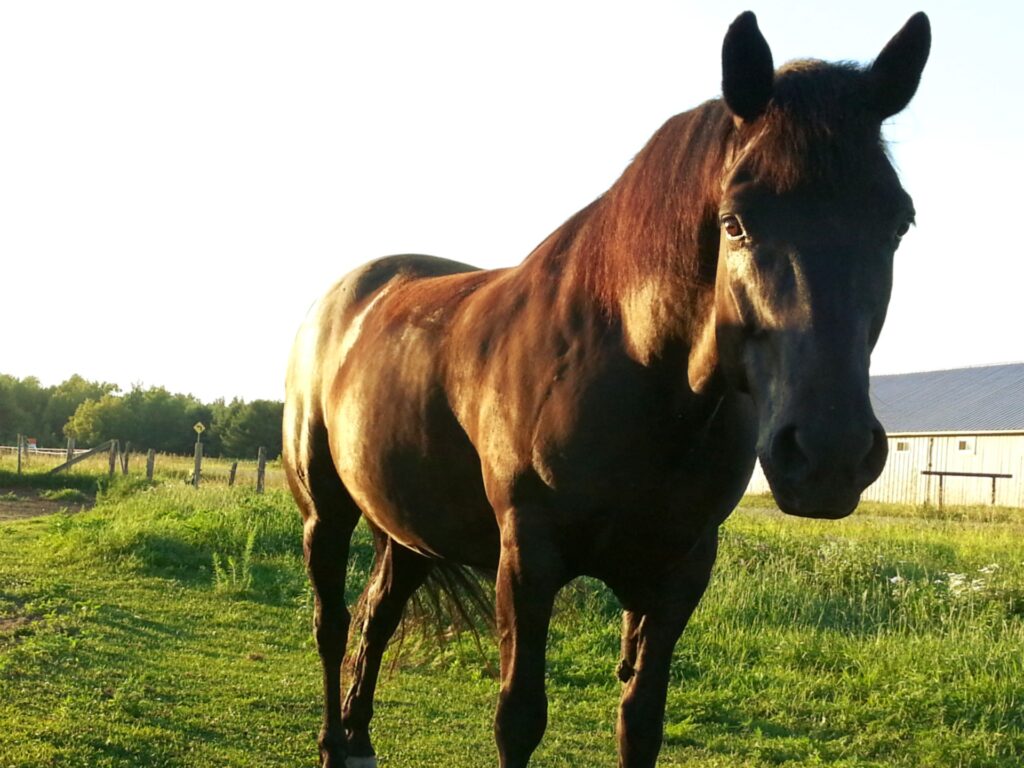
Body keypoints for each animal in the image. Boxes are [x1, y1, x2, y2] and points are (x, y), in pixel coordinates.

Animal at [284, 13, 933, 768]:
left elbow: (640, 722)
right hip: (326, 514)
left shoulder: (679, 573)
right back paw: (334, 741)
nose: (829, 456)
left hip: (410, 529)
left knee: (377, 615)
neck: (636, 374)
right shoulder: (528, 559)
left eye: (898, 221)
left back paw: (358, 739)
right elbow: (518, 719)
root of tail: (343, 297)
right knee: (332, 623)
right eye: (735, 221)